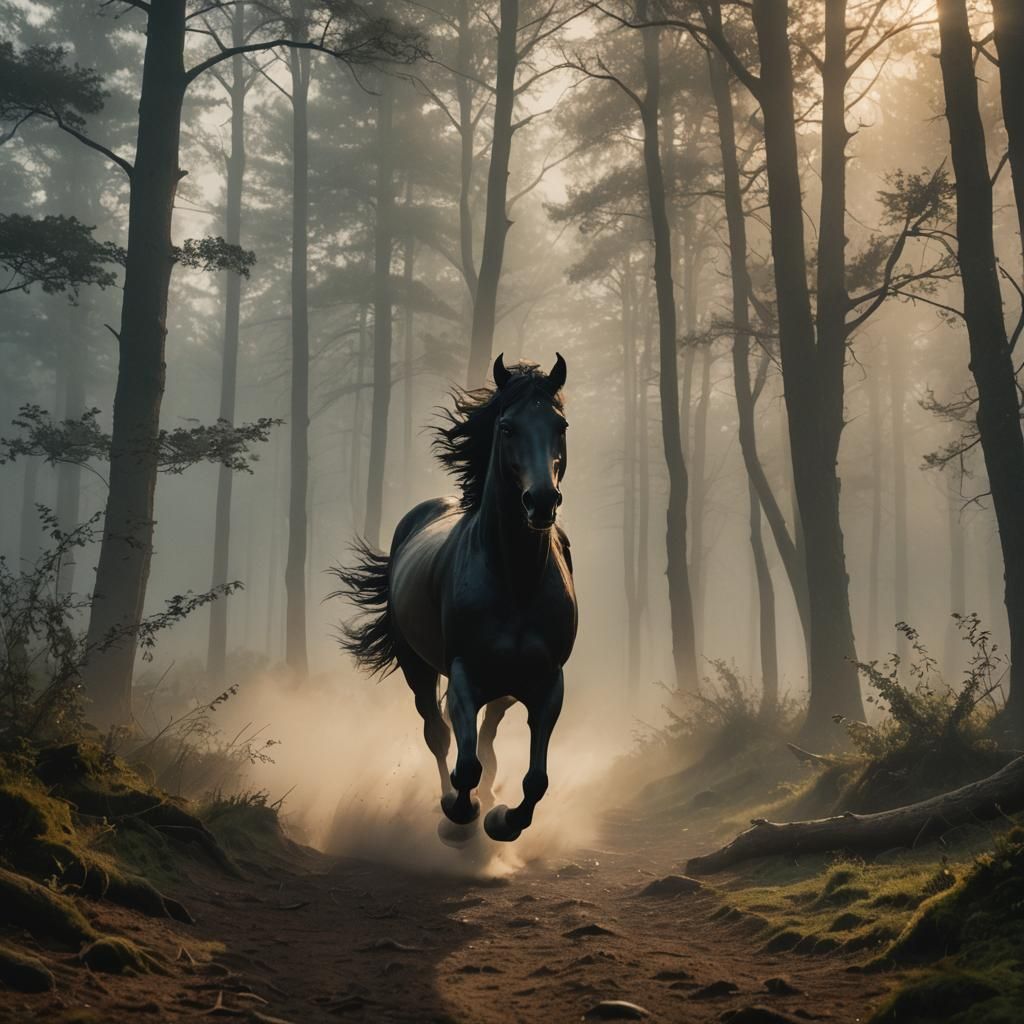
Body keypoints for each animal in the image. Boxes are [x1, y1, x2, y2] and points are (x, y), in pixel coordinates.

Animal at [332, 354, 577, 842]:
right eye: (507, 427)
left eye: (559, 425)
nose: (541, 501)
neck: (516, 580)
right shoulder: (465, 673)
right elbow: (463, 764)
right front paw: (459, 818)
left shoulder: (547, 683)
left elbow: (535, 780)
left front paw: (503, 820)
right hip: (417, 666)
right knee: (438, 731)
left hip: (507, 683)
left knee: (490, 730)